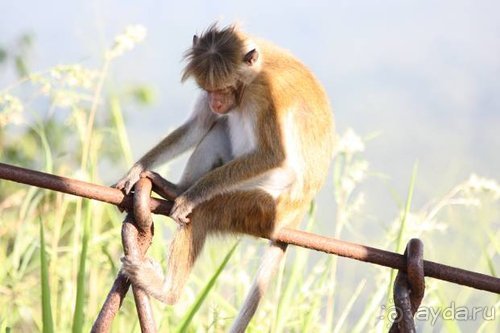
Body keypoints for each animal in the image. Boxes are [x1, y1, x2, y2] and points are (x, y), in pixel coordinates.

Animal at [115, 23, 334, 330]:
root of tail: (298, 208)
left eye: (225, 88)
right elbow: (199, 124)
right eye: (209, 89)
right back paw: (176, 189)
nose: (216, 101)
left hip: (264, 208)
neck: (254, 72)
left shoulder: (264, 94)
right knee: (218, 127)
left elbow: (271, 155)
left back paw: (166, 290)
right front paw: (137, 169)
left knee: (208, 211)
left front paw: (192, 197)